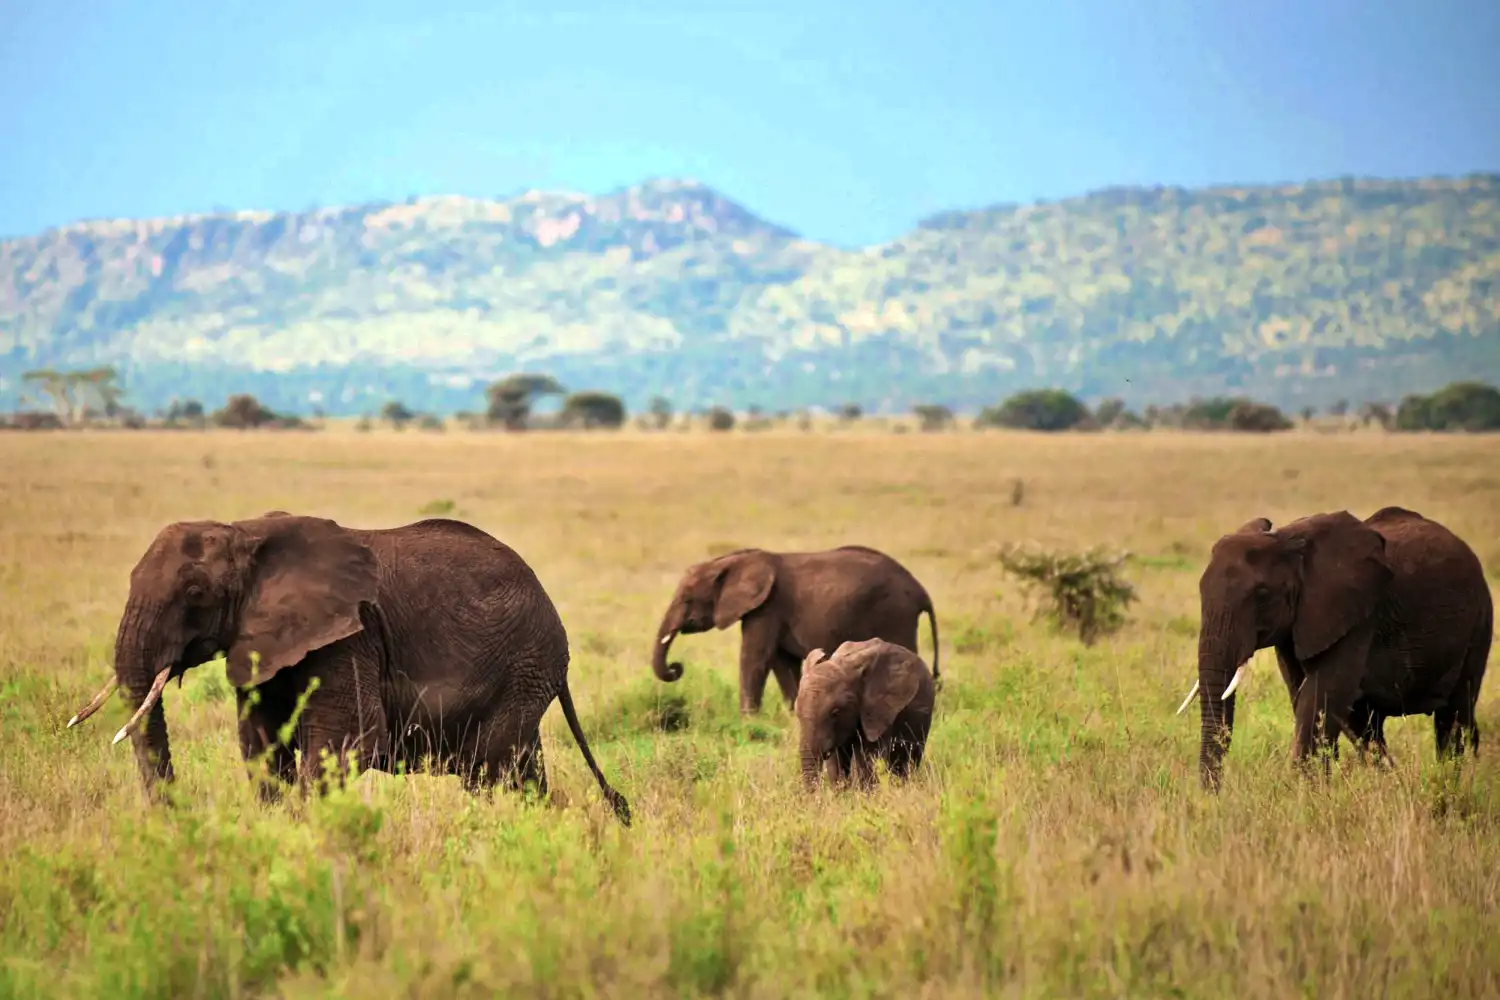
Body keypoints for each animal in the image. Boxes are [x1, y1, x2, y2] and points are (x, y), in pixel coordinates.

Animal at [67, 512, 630, 827]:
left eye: (195, 593)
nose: (175, 822)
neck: (245, 532)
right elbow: (262, 746)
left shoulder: (350, 634)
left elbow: (343, 743)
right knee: (523, 769)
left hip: (523, 665)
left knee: (490, 772)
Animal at [654, 548, 942, 719]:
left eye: (687, 599)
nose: (676, 667)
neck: (733, 560)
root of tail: (921, 591)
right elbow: (782, 663)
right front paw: (795, 713)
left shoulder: (767, 607)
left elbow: (755, 658)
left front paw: (747, 719)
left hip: (895, 613)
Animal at [1182, 509, 1488, 791]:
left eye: (1262, 594)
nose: (1212, 797)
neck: (1288, 543)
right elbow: (1306, 697)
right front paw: (1319, 791)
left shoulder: (1357, 617)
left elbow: (1320, 696)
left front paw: (1304, 796)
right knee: (1365, 725)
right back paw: (1392, 785)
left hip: (1478, 624)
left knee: (1454, 716)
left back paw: (1449, 784)